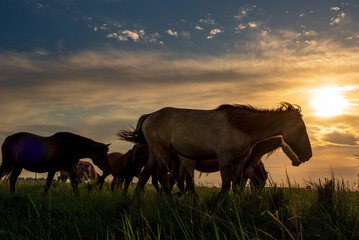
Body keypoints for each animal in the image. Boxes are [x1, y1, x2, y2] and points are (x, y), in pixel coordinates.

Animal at [119, 102, 312, 195]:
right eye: (301, 128)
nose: (308, 155)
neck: (242, 127)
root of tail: (150, 116)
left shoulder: (240, 161)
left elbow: (236, 186)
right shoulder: (224, 159)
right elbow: (226, 185)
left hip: (155, 153)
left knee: (145, 176)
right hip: (163, 151)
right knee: (162, 178)